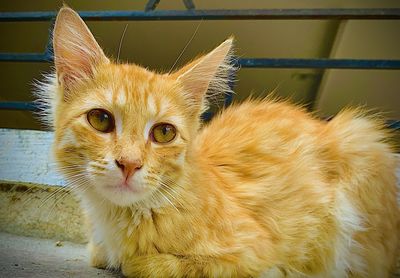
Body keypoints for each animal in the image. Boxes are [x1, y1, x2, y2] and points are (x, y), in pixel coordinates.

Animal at [36, 7, 398, 276]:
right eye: (101, 120)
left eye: (163, 133)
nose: (129, 164)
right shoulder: (97, 248)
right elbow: (99, 255)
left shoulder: (259, 253)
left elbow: (152, 266)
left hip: (359, 142)